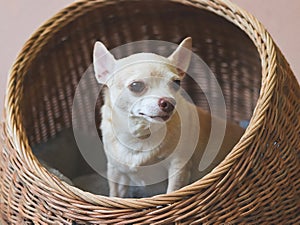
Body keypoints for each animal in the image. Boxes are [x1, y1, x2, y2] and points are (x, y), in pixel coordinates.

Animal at [93, 37, 244, 197]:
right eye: (136, 86)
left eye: (177, 83)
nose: (170, 102)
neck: (140, 136)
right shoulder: (116, 172)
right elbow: (115, 195)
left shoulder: (178, 167)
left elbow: (172, 191)